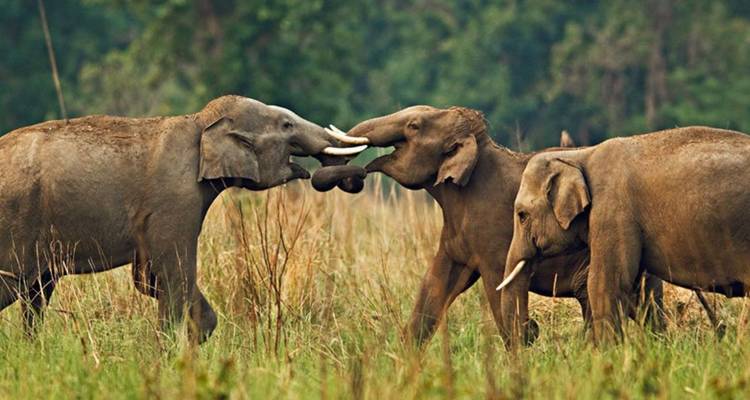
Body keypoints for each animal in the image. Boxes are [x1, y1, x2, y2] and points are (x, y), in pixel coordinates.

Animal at [0, 95, 365, 342]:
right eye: (286, 125)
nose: (354, 177)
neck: (200, 121)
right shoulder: (176, 199)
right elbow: (172, 273)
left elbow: (148, 278)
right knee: (15, 285)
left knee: (36, 293)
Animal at [312, 105, 671, 347]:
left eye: (413, 126)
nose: (356, 177)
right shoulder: (455, 234)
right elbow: (435, 285)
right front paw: (405, 362)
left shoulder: (493, 229)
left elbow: (497, 284)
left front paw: (522, 348)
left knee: (640, 305)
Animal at [498, 126, 749, 345]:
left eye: (522, 215)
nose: (533, 328)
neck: (579, 154)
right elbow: (638, 290)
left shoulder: (613, 212)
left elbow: (605, 283)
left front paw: (605, 353)